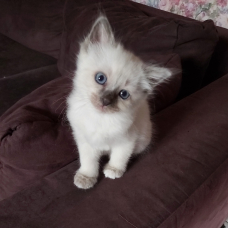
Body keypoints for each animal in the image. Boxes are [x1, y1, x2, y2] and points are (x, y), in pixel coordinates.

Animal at [66, 14, 171, 189]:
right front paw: (86, 178)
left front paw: (113, 170)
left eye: (123, 94)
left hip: (143, 140)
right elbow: (88, 161)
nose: (105, 101)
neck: (99, 118)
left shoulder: (126, 140)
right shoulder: (85, 141)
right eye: (100, 78)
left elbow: (119, 157)